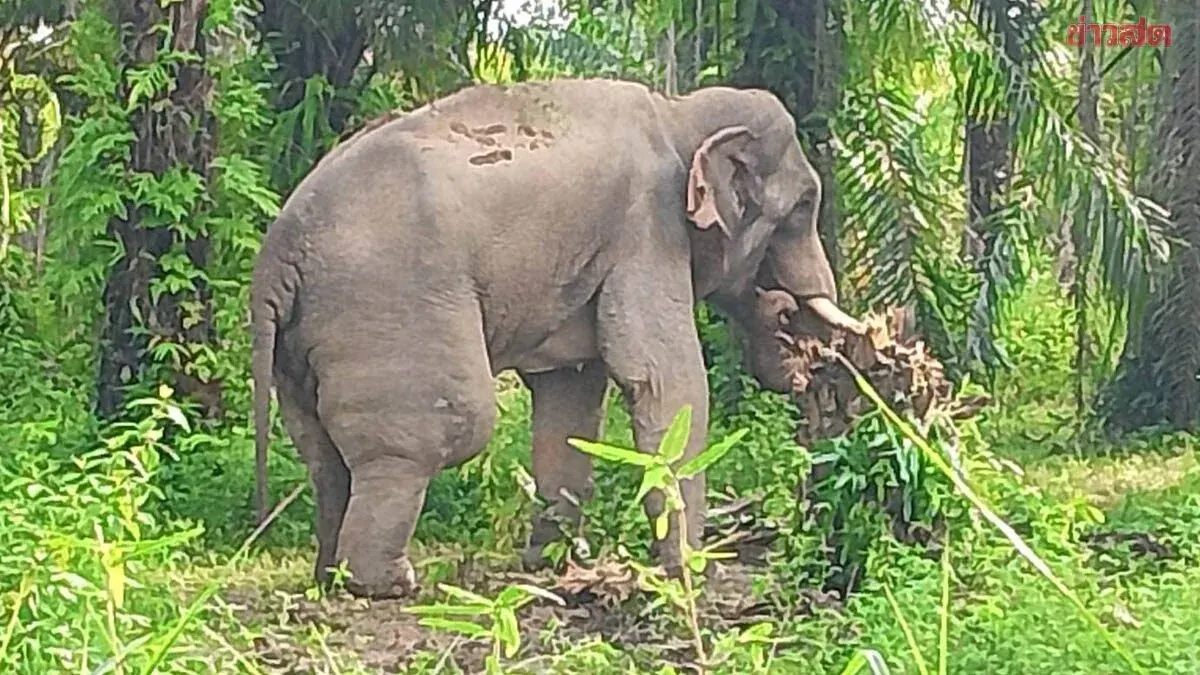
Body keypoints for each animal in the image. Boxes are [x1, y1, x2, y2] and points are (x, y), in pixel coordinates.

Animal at [250, 77, 865, 599]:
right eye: (804, 207)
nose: (788, 313)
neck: (679, 111)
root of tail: (278, 252)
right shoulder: (648, 229)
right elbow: (663, 378)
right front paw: (690, 571)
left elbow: (570, 392)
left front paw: (553, 565)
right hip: (390, 307)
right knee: (436, 432)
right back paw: (388, 583)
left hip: (302, 342)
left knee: (324, 453)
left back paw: (328, 577)